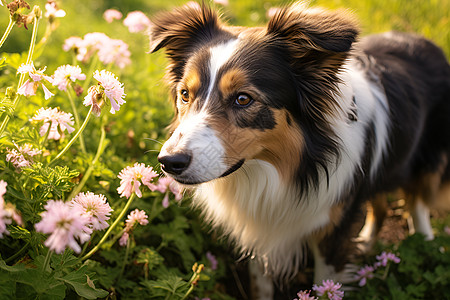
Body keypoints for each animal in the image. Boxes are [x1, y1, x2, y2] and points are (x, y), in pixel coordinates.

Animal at [149, 1, 450, 298]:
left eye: (243, 99)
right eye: (185, 94)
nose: (169, 162)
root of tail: (425, 42)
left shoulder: (334, 229)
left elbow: (324, 285)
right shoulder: (258, 228)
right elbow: (260, 284)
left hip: (428, 161)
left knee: (418, 205)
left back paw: (426, 244)